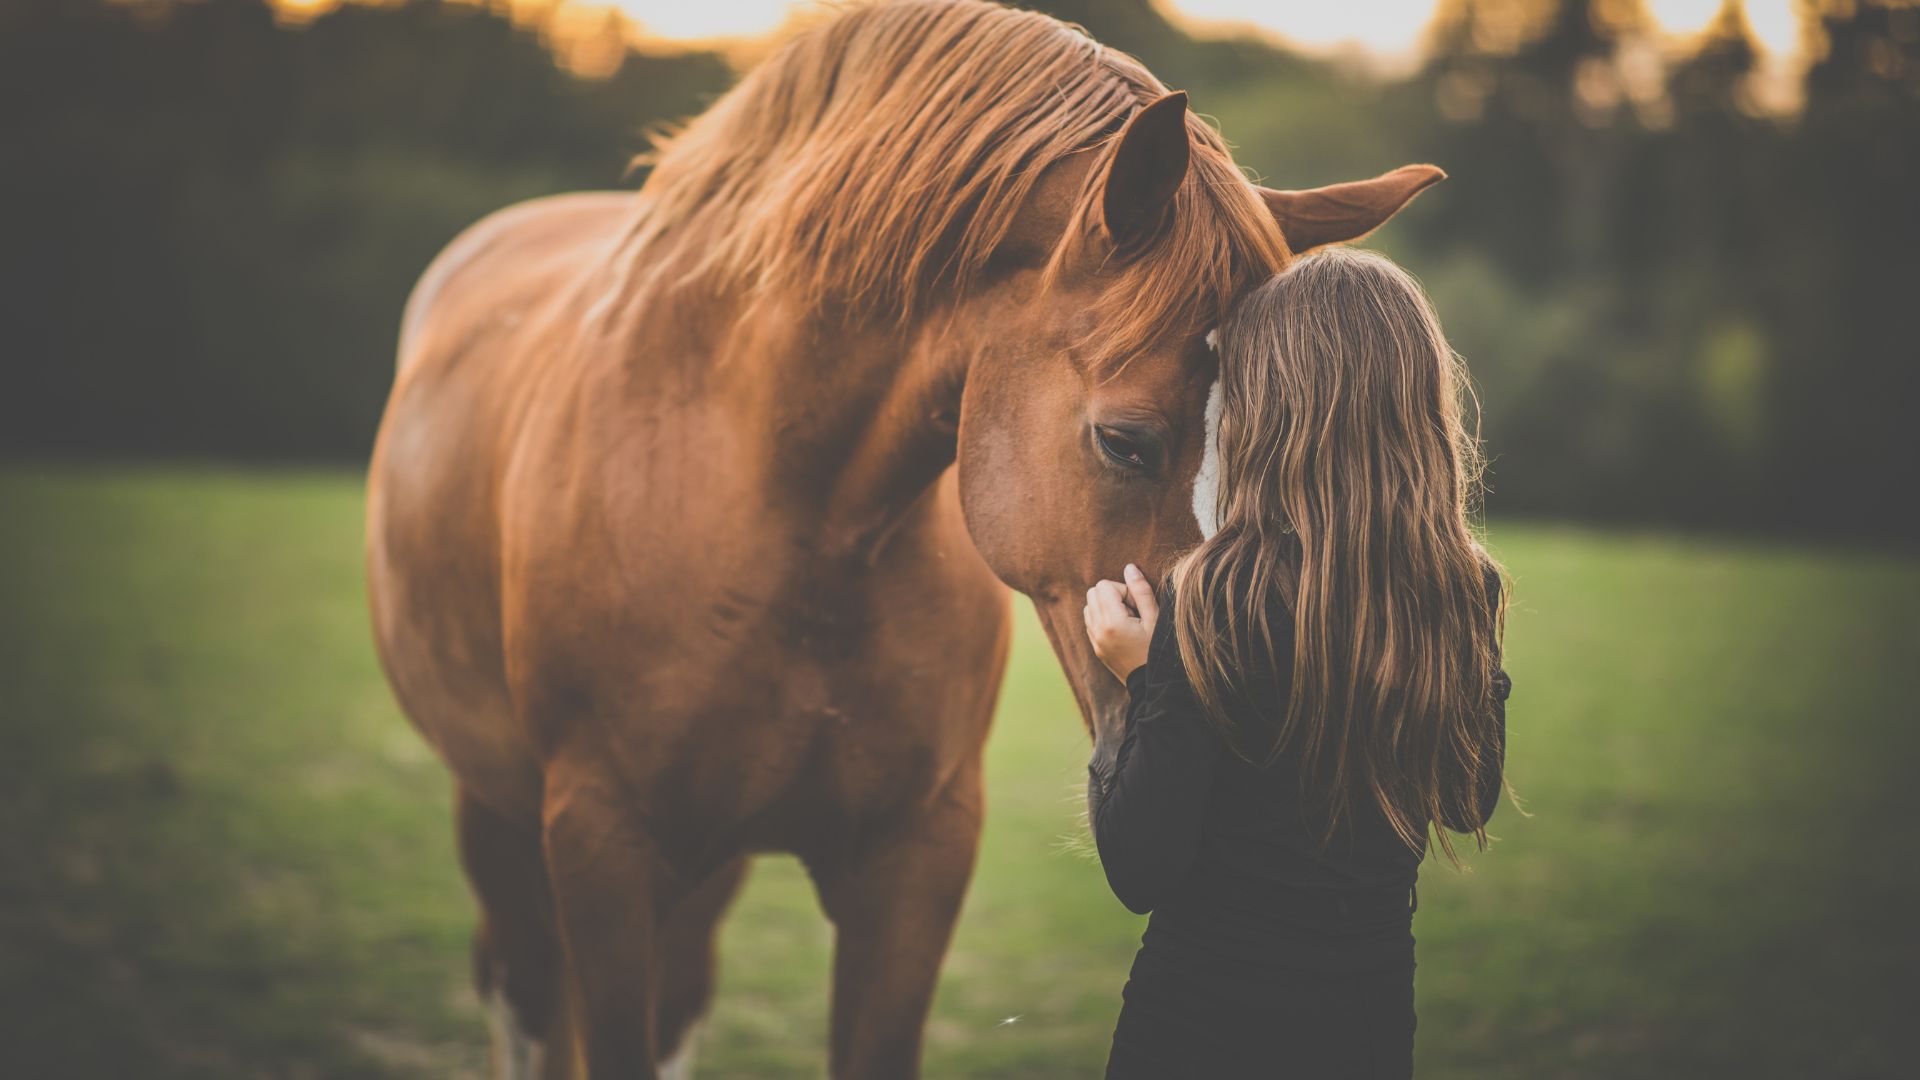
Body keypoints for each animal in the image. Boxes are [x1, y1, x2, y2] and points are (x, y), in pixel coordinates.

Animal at [362, 0, 1443, 1068]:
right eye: (1125, 441)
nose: (1255, 757)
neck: (779, 514)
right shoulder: (602, 844)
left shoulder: (915, 857)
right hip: (503, 813)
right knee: (529, 1001)